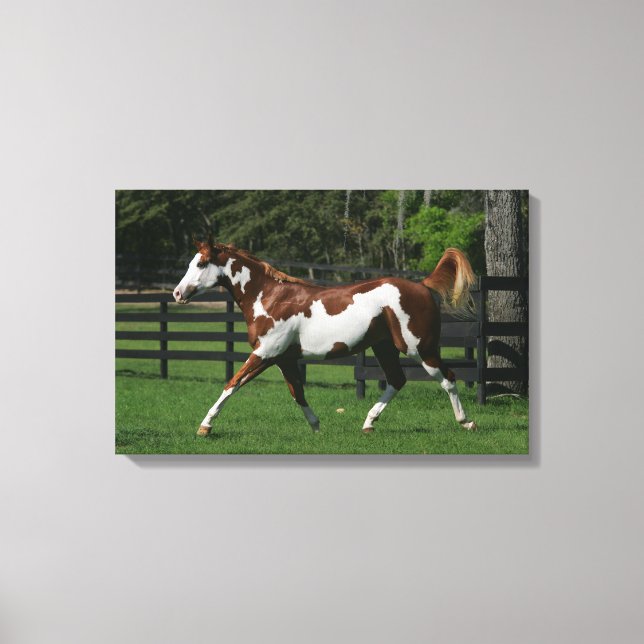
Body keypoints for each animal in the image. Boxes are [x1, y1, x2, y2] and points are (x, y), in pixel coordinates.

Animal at [173, 236, 478, 436]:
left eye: (201, 264)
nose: (177, 293)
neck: (270, 298)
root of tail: (423, 285)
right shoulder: (283, 358)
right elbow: (297, 392)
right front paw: (317, 426)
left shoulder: (265, 353)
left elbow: (232, 384)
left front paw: (205, 426)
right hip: (385, 347)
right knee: (396, 380)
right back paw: (368, 424)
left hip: (419, 348)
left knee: (448, 378)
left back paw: (466, 422)